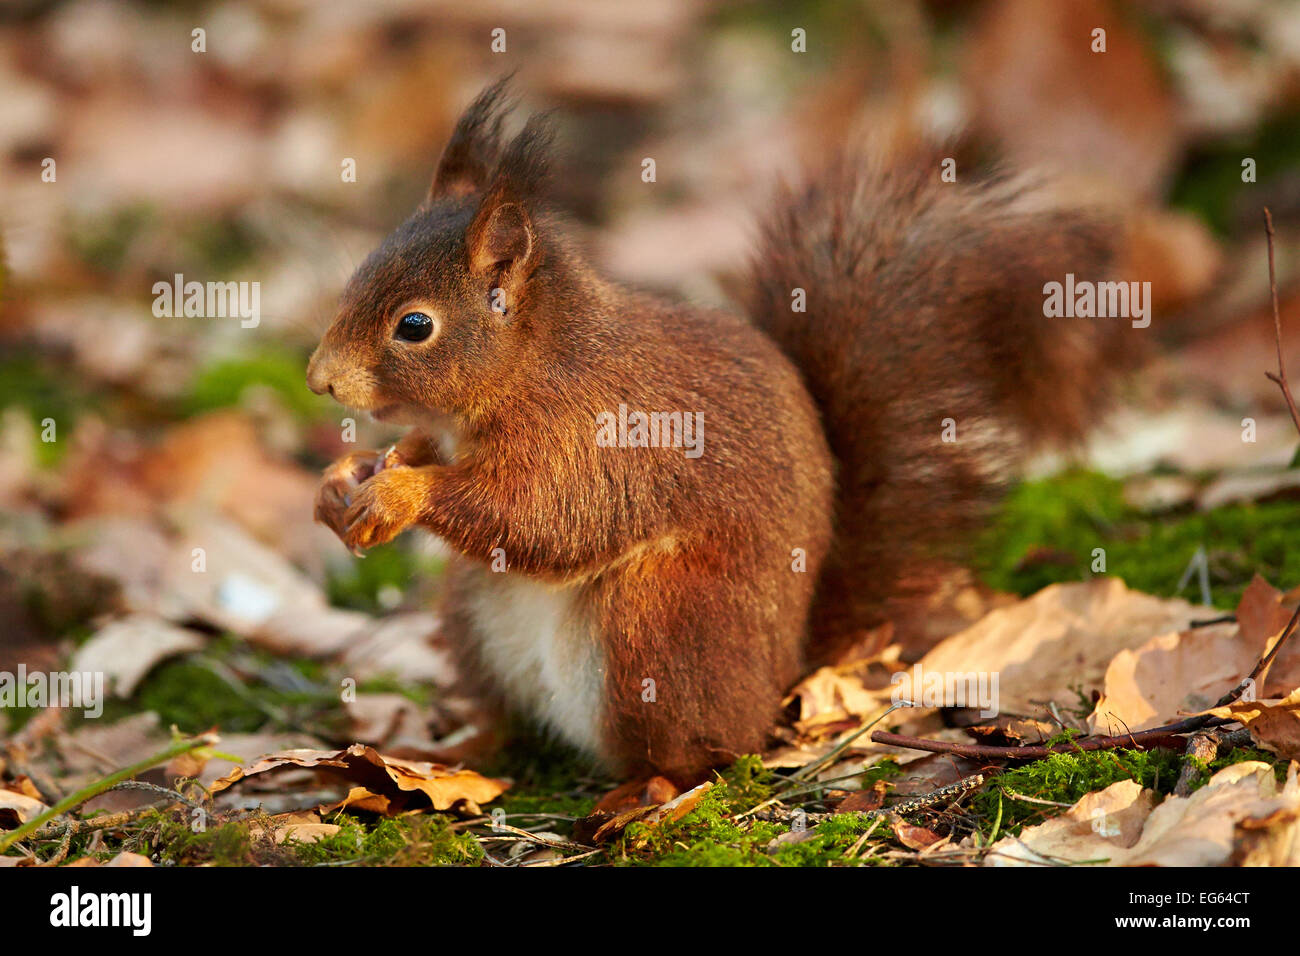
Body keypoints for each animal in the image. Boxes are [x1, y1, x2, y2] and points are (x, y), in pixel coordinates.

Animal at [301, 80, 1128, 785]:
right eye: (357, 278)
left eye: (415, 326)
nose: (320, 380)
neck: (533, 366)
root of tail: (782, 673)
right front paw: (343, 485)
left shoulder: (597, 440)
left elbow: (543, 518)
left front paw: (399, 495)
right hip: (477, 618)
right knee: (514, 724)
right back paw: (449, 751)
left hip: (656, 627)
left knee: (691, 757)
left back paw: (639, 799)